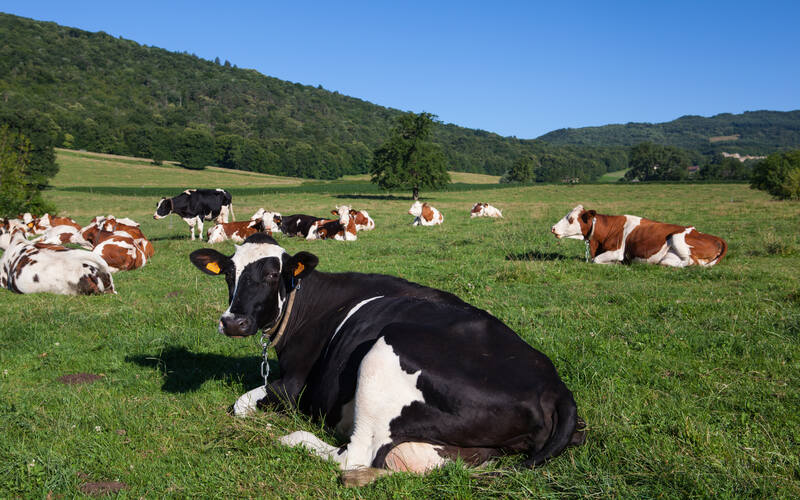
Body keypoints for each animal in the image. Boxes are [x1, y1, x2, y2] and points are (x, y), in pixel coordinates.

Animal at [191, 233, 584, 484]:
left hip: (385, 352)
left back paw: (292, 438)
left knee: (354, 455)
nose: (233, 322)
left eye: (273, 273)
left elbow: (242, 404)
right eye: (229, 273)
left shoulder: (293, 386)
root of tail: (555, 386)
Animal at [552, 203, 728, 268]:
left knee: (690, 262)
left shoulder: (617, 251)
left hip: (677, 236)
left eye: (571, 219)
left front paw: (616, 263)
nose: (553, 228)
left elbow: (596, 260)